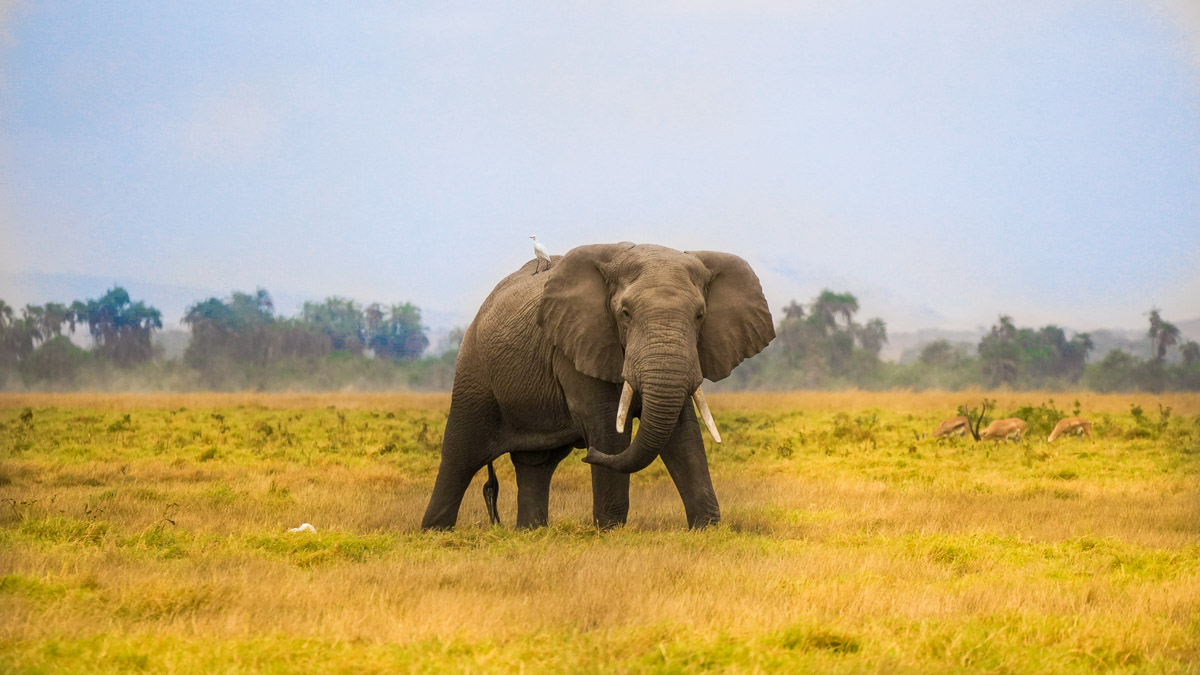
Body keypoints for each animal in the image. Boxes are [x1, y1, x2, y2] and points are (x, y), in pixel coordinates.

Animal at [422, 239, 777, 528]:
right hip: (474, 373)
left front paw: (707, 529)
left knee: (536, 464)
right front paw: (610, 532)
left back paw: (530, 533)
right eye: (625, 314)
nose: (587, 451)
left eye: (700, 316)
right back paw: (435, 533)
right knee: (460, 456)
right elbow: (609, 429)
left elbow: (682, 434)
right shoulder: (579, 343)